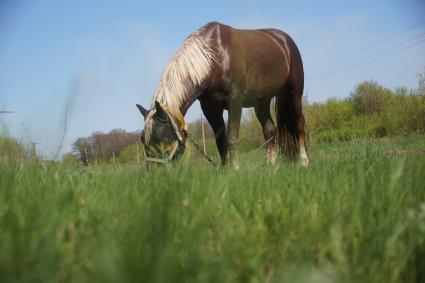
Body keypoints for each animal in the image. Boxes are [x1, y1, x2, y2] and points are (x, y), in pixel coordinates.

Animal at [137, 22, 306, 169]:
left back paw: (304, 162)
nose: (157, 174)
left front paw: (235, 169)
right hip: (262, 102)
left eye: (163, 138)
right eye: (143, 140)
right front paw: (226, 171)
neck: (215, 57)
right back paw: (271, 166)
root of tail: (283, 40)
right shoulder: (210, 108)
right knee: (270, 130)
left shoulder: (235, 101)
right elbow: (221, 141)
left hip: (294, 93)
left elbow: (232, 137)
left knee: (298, 125)